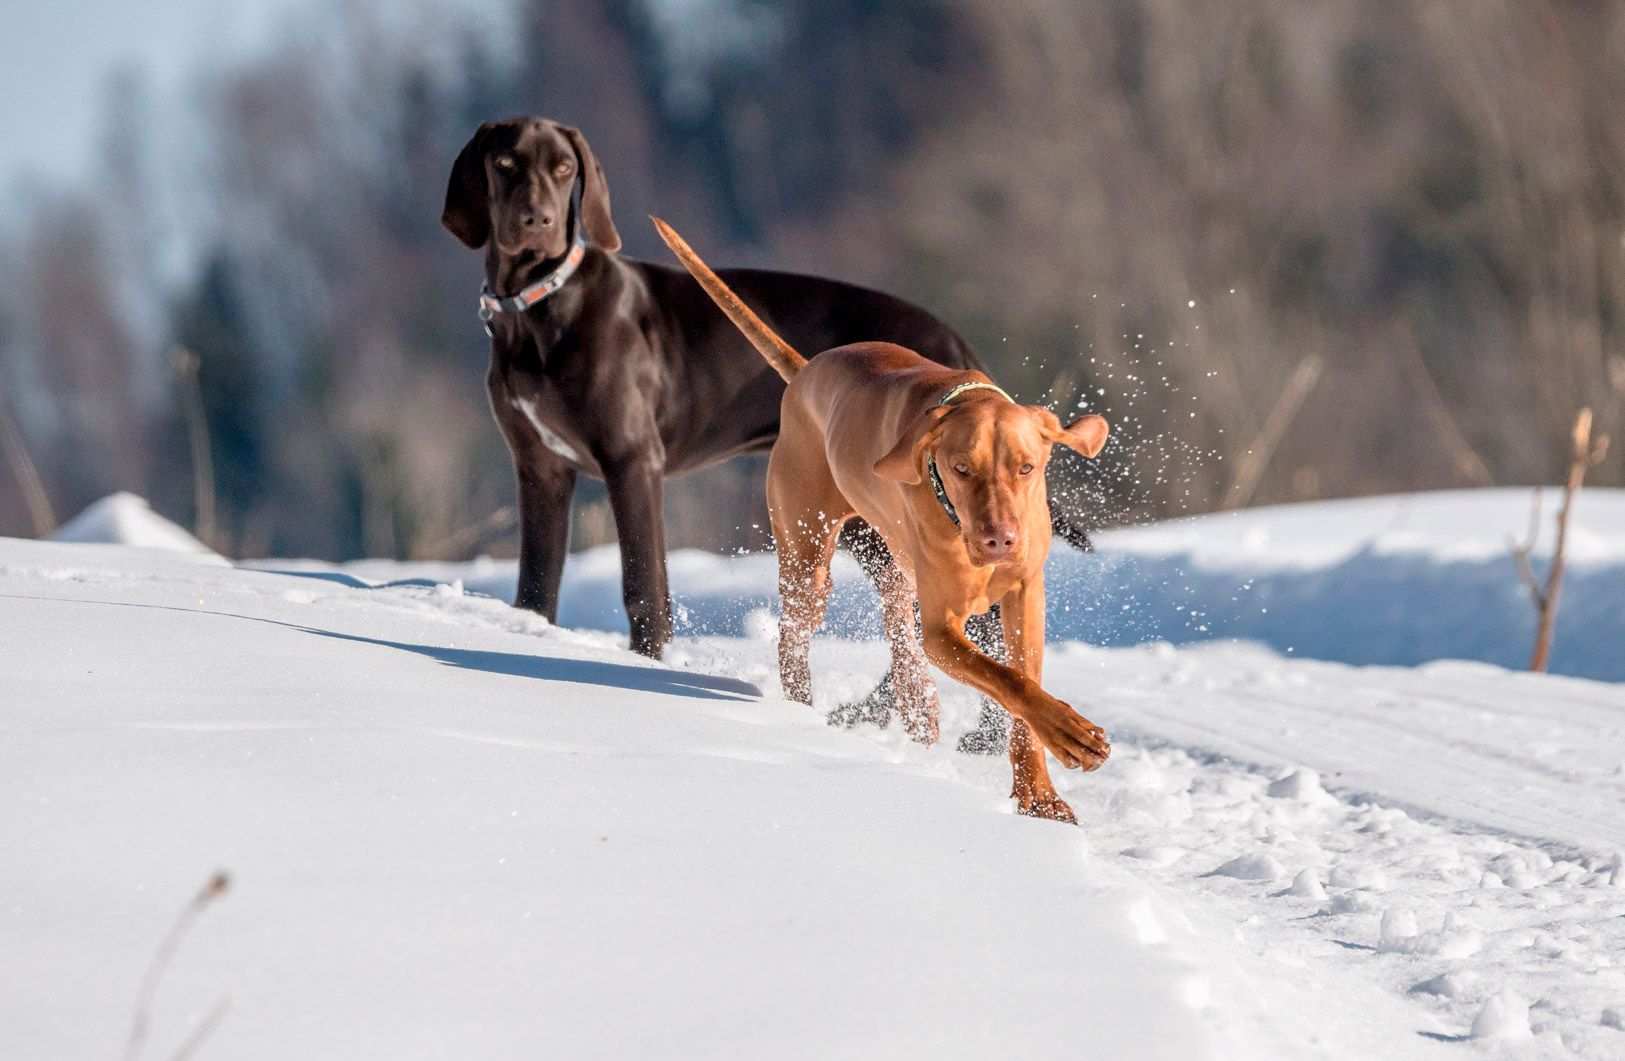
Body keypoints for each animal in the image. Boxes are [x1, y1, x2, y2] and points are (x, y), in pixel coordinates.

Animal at [653, 219, 1111, 822]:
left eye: (1026, 467)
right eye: (961, 469)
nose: (999, 541)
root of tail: (806, 371)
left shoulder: (1024, 595)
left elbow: (1022, 682)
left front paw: (1040, 794)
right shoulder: (942, 627)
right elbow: (1006, 680)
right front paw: (1072, 736)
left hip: (890, 563)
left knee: (898, 630)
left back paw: (917, 707)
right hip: (808, 558)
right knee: (796, 636)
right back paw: (801, 716)